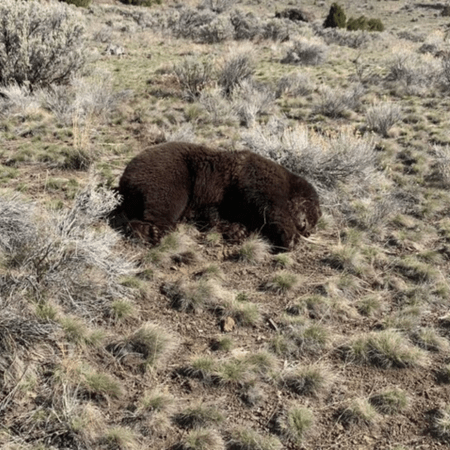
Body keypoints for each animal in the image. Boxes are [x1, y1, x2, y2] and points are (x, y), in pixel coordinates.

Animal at [114, 142, 322, 250]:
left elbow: (215, 215)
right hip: (171, 172)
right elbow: (271, 206)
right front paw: (290, 237)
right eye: (311, 215)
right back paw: (153, 231)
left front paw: (237, 230)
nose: (306, 229)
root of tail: (124, 177)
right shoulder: (258, 178)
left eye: (314, 222)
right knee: (165, 201)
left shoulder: (224, 202)